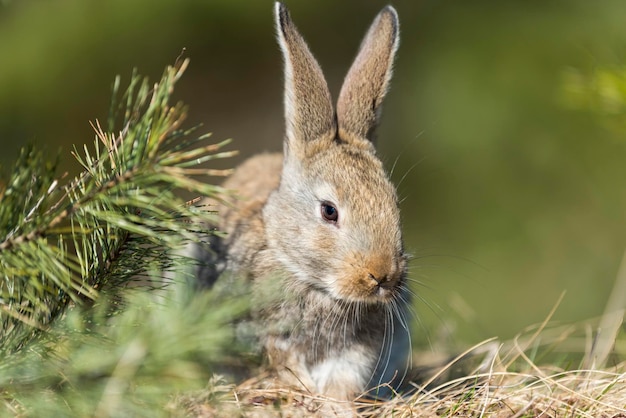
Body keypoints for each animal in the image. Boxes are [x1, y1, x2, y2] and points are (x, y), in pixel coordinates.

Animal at [193, 2, 412, 402]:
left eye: (394, 203)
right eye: (329, 211)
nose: (382, 276)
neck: (316, 286)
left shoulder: (360, 349)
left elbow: (345, 376)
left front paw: (335, 403)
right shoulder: (266, 337)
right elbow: (282, 364)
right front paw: (303, 392)